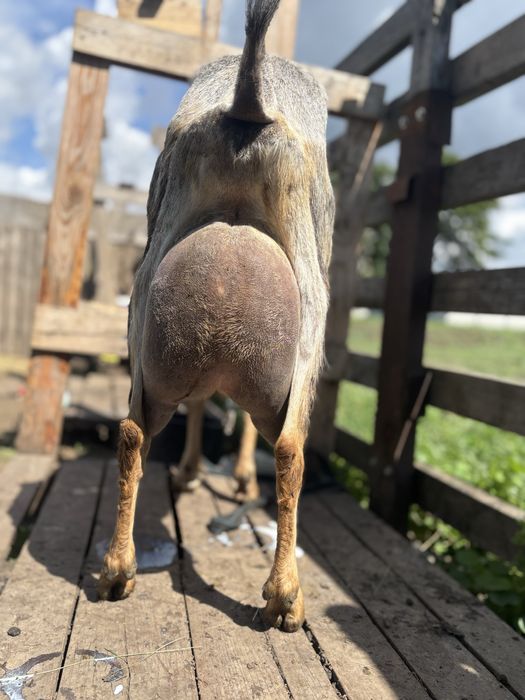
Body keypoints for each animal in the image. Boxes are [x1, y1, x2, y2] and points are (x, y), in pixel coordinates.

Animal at [98, 0, 334, 633]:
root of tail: (246, 105)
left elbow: (203, 405)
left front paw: (193, 470)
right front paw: (228, 472)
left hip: (148, 319)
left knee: (132, 430)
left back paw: (118, 569)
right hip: (310, 313)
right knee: (289, 447)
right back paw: (284, 598)